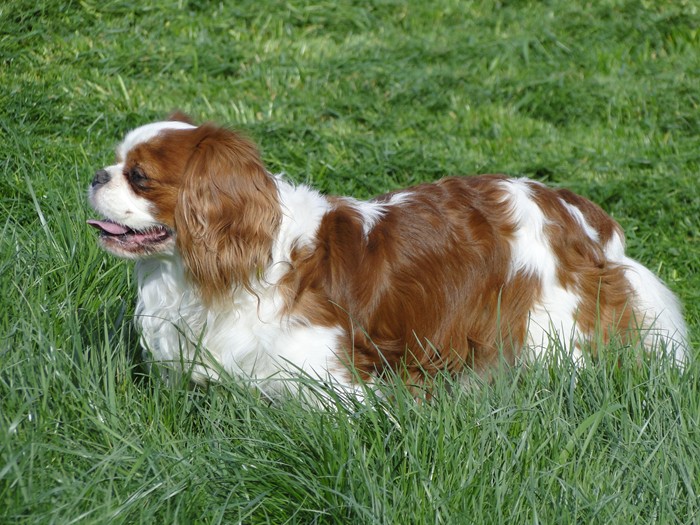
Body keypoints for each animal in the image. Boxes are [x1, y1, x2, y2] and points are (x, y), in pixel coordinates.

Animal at [87, 114, 688, 392]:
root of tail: (574, 209)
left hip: (552, 331)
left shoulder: (329, 382)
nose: (95, 175)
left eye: (139, 176)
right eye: (115, 162)